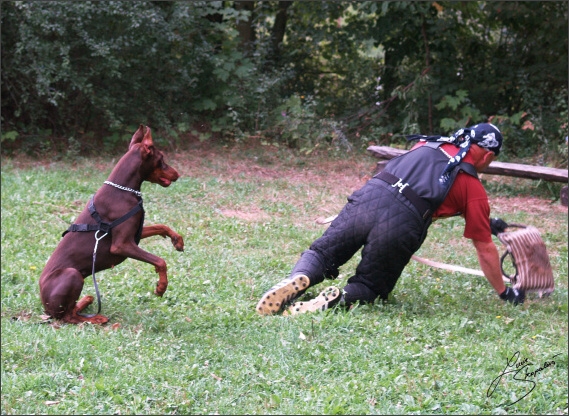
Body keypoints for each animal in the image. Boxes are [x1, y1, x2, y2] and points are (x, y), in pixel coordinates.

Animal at [38, 124, 184, 324]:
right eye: (161, 159)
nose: (178, 174)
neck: (123, 190)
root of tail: (45, 309)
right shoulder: (121, 245)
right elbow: (160, 261)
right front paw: (162, 286)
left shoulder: (134, 234)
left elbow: (161, 226)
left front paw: (177, 240)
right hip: (72, 274)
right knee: (68, 317)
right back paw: (96, 319)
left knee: (73, 310)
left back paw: (86, 302)